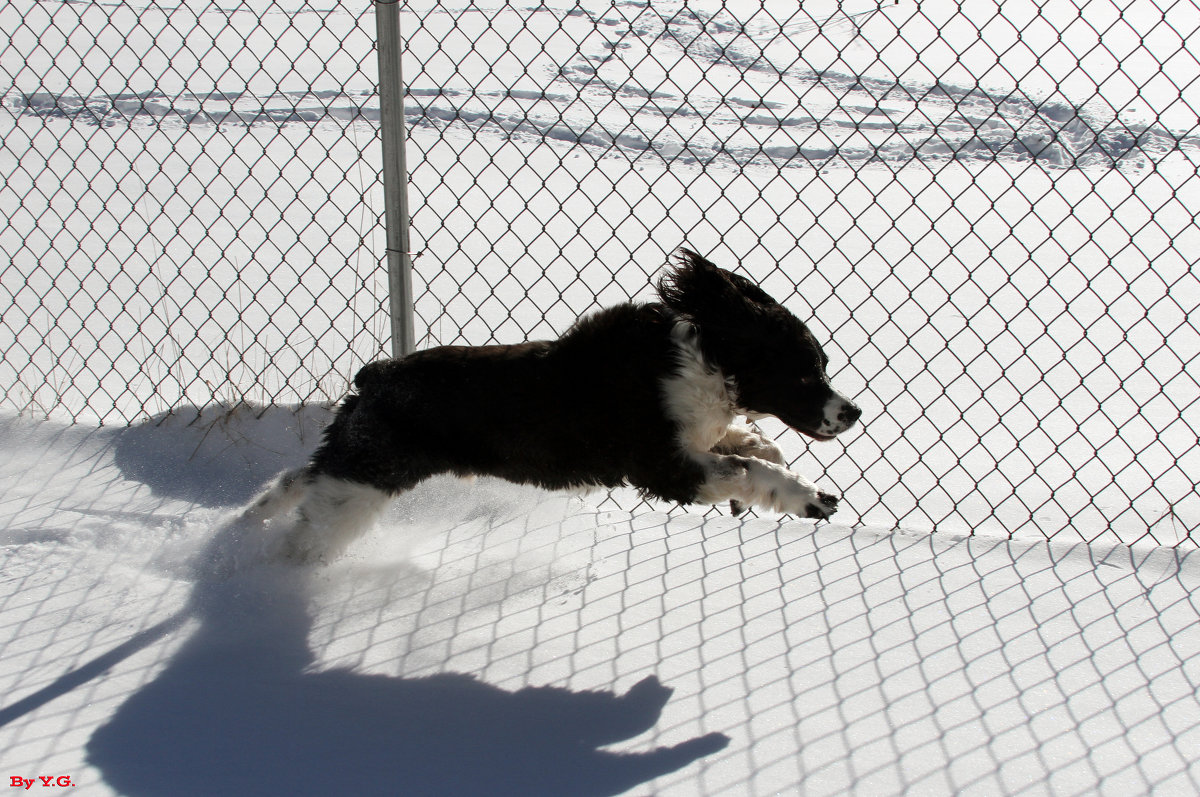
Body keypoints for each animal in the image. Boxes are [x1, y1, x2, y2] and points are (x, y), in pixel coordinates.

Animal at [243, 246, 859, 564]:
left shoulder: (692, 442)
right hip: (365, 483)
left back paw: (251, 517)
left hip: (357, 461)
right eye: (806, 372)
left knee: (299, 477)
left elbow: (749, 446)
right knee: (308, 532)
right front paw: (810, 497)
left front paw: (764, 450)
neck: (705, 360)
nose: (852, 413)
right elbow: (747, 470)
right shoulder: (663, 468)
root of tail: (374, 375)